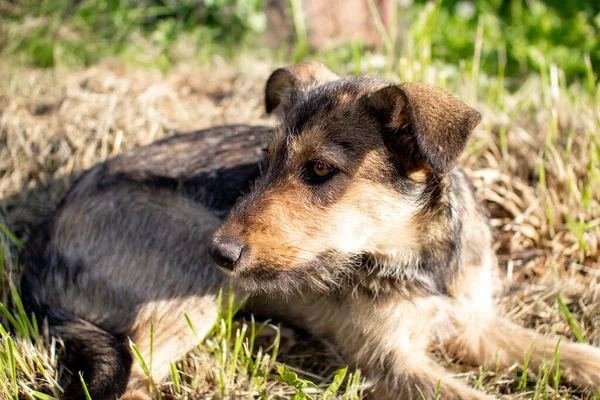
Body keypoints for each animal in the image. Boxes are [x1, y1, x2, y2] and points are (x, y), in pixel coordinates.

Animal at [21, 63, 596, 400]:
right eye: (265, 159)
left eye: (319, 170)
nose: (220, 252)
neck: (420, 260)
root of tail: (37, 253)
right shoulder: (392, 361)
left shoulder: (471, 322)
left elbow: (562, 351)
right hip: (197, 267)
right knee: (137, 377)